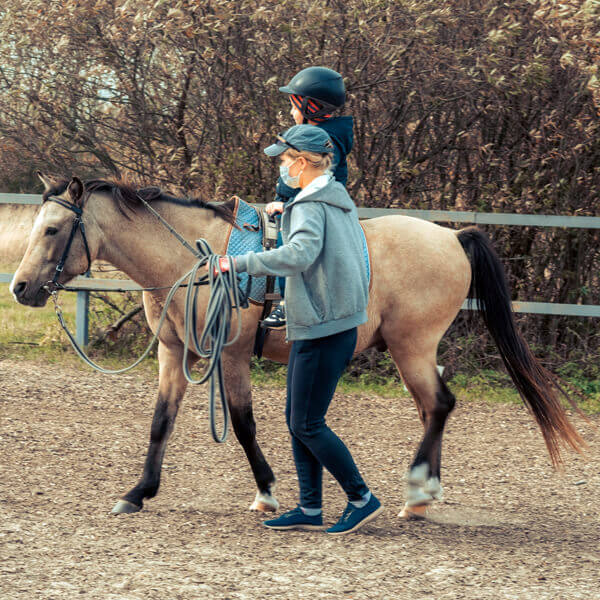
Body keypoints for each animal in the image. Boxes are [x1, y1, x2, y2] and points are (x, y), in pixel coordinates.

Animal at [9, 171, 584, 516]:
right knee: (433, 408)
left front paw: (265, 492)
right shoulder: (175, 354)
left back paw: (416, 490)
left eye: (54, 229)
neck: (195, 261)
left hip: (413, 347)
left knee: (439, 404)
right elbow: (160, 422)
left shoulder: (231, 356)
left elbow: (242, 425)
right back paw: (424, 496)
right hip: (415, 352)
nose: (20, 287)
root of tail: (451, 236)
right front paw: (137, 493)